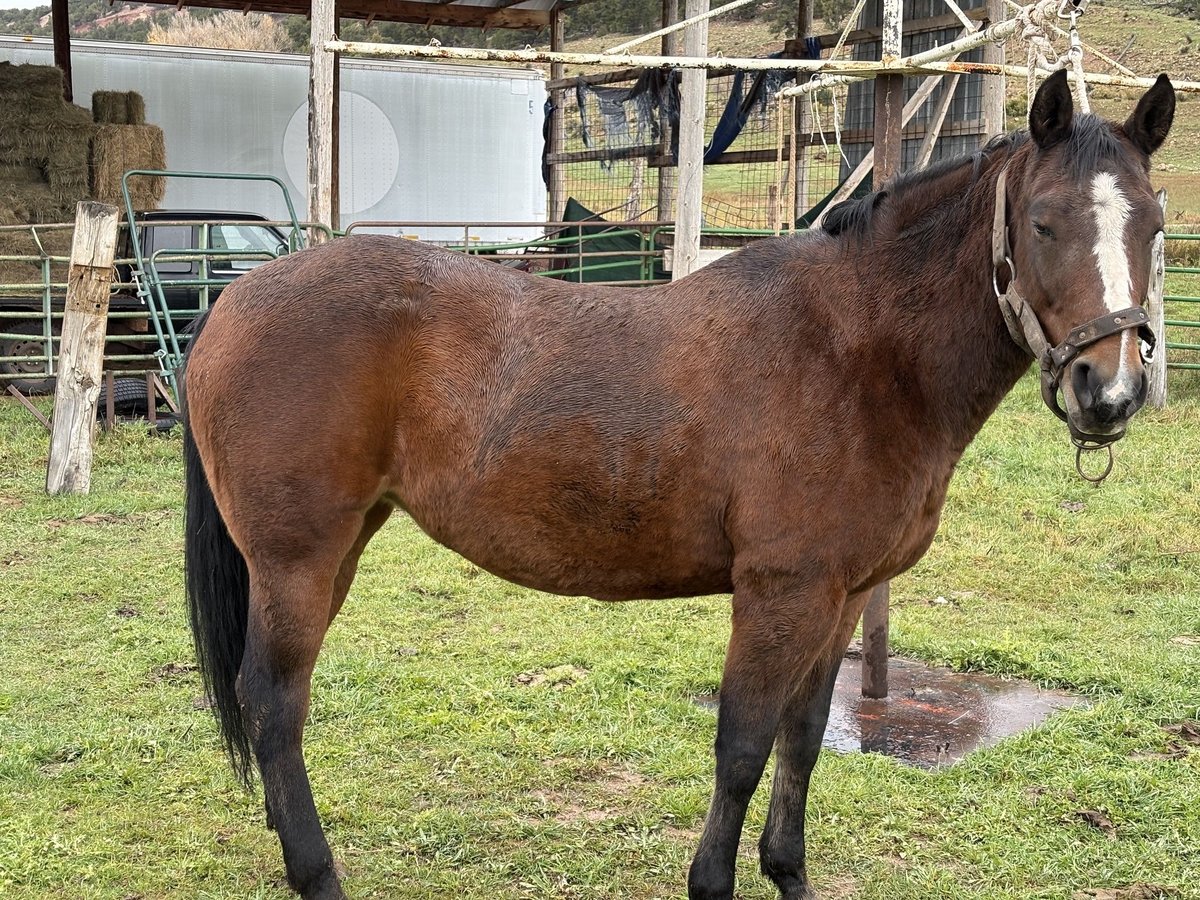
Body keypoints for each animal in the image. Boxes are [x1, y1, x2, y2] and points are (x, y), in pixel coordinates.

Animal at [181, 70, 1175, 900]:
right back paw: (316, 873)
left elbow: (802, 743)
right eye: (1042, 221)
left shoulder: (843, 596)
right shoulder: (779, 592)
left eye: (1154, 227)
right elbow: (742, 747)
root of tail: (234, 303)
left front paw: (788, 873)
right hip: (297, 559)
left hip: (341, 545)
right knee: (275, 702)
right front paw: (714, 880)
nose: (1111, 392)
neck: (856, 350)